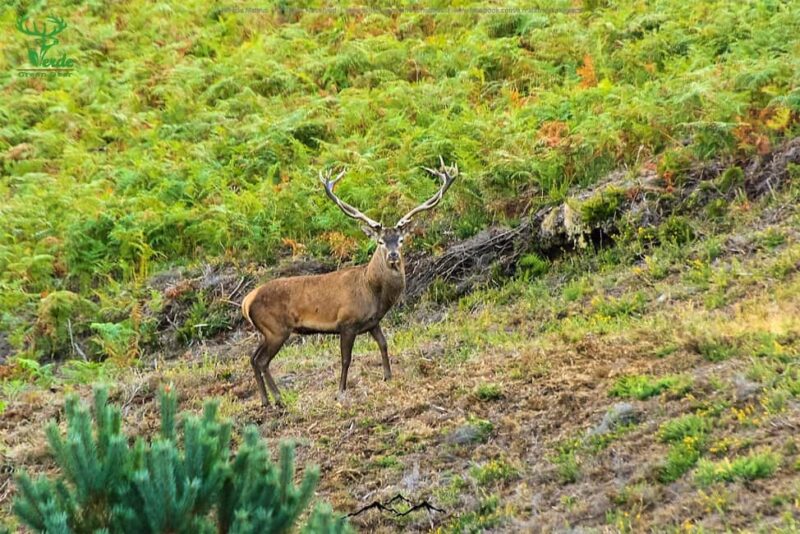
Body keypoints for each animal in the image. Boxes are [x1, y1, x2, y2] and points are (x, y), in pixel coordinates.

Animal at [241, 158, 458, 408]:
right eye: (381, 241)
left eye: (401, 240)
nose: (393, 256)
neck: (373, 291)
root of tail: (246, 302)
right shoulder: (347, 322)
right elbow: (346, 359)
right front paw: (341, 390)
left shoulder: (373, 322)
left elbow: (384, 344)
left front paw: (388, 376)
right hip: (276, 329)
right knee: (261, 360)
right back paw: (276, 398)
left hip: (267, 332)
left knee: (253, 358)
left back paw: (267, 400)